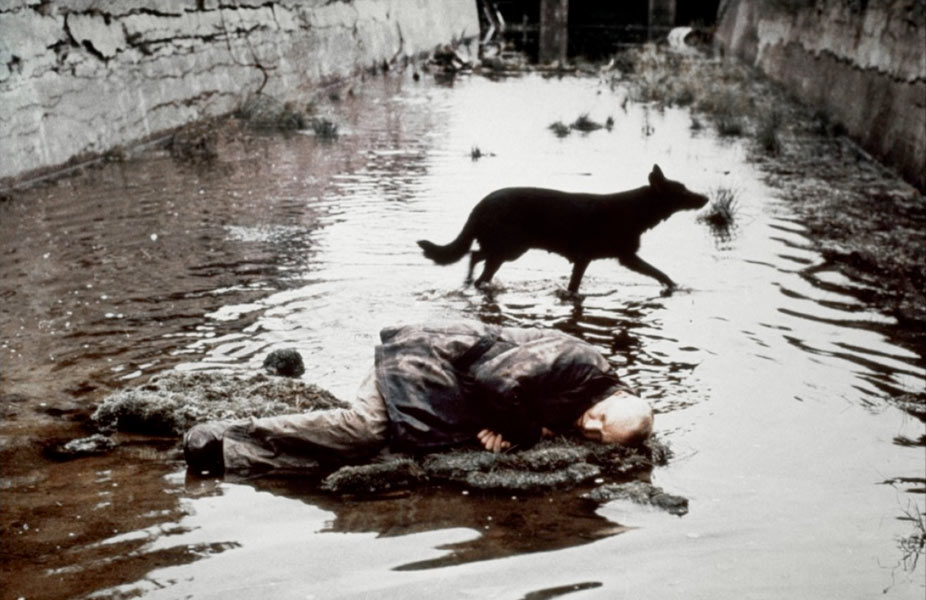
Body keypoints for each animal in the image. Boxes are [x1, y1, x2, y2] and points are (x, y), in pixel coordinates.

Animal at [420, 165, 712, 294]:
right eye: (682, 192)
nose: (705, 198)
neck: (635, 210)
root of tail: (480, 205)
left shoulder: (623, 257)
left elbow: (657, 272)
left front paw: (673, 285)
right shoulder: (600, 258)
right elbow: (657, 271)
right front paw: (673, 286)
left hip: (506, 249)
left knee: (475, 256)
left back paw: (469, 281)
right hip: (510, 248)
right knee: (476, 259)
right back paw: (471, 282)